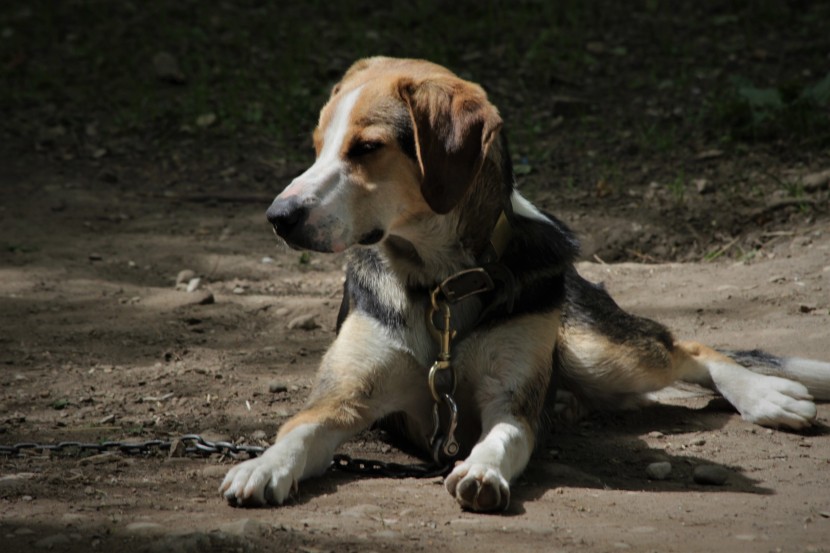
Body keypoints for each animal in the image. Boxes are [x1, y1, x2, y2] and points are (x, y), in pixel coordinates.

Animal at [221, 55, 830, 508]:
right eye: (317, 146)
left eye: (367, 148)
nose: (278, 217)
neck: (442, 284)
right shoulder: (343, 398)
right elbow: (298, 431)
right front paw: (263, 467)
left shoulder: (511, 402)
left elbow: (505, 436)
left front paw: (483, 471)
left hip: (598, 351)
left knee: (693, 349)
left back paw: (770, 396)